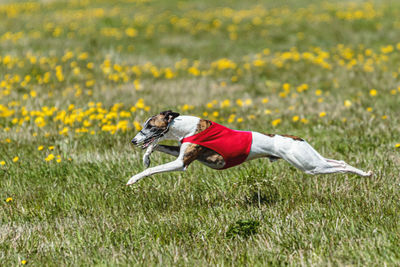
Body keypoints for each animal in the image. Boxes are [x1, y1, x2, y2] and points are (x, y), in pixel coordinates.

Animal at [127, 111, 372, 186]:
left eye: (150, 125)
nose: (133, 141)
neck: (187, 127)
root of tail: (296, 138)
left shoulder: (181, 162)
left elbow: (152, 168)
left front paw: (133, 178)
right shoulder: (182, 153)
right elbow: (157, 146)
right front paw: (146, 157)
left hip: (310, 166)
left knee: (341, 166)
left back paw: (365, 173)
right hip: (311, 161)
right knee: (339, 161)